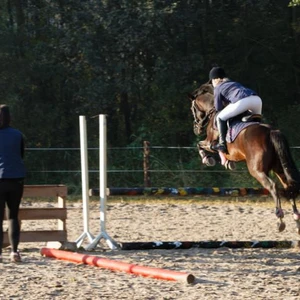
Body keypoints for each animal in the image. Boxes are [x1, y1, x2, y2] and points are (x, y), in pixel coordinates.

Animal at [189, 83, 300, 233]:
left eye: (193, 109)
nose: (196, 129)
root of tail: (271, 131)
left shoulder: (210, 142)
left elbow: (200, 145)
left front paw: (208, 159)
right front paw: (227, 163)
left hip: (256, 170)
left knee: (272, 186)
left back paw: (280, 220)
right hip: (279, 168)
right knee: (288, 186)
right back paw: (296, 220)